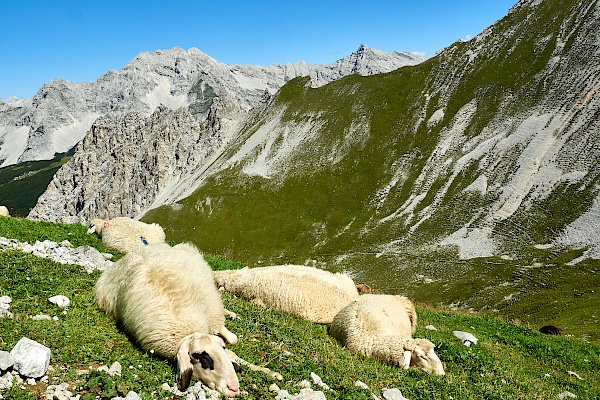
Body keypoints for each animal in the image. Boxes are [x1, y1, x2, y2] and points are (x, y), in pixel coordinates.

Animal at [94, 242, 282, 396]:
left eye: (220, 348)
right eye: (199, 356)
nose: (233, 388)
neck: (185, 326)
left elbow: (232, 346)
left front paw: (268, 371)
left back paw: (230, 315)